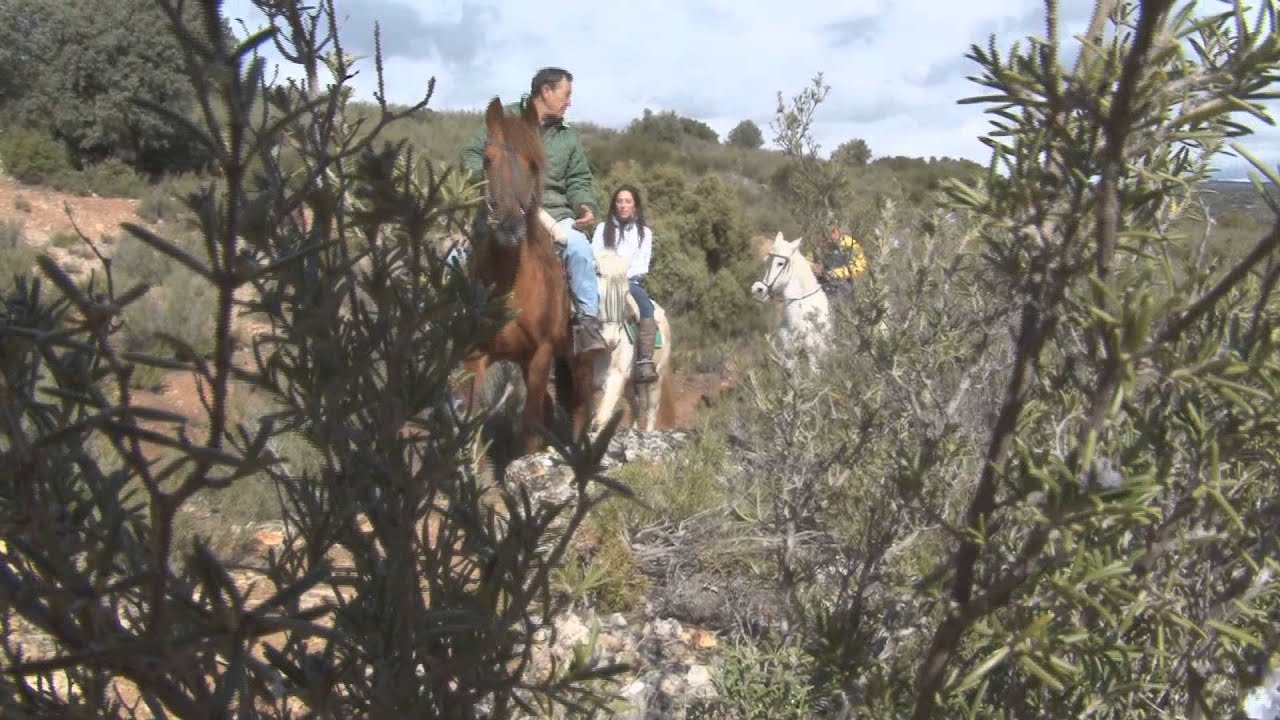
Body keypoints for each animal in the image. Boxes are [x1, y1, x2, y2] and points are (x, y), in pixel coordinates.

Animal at [591, 249, 676, 433]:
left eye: (624, 296)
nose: (612, 340)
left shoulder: (614, 379)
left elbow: (600, 419)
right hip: (630, 384)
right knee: (635, 406)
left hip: (655, 379)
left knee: (651, 411)